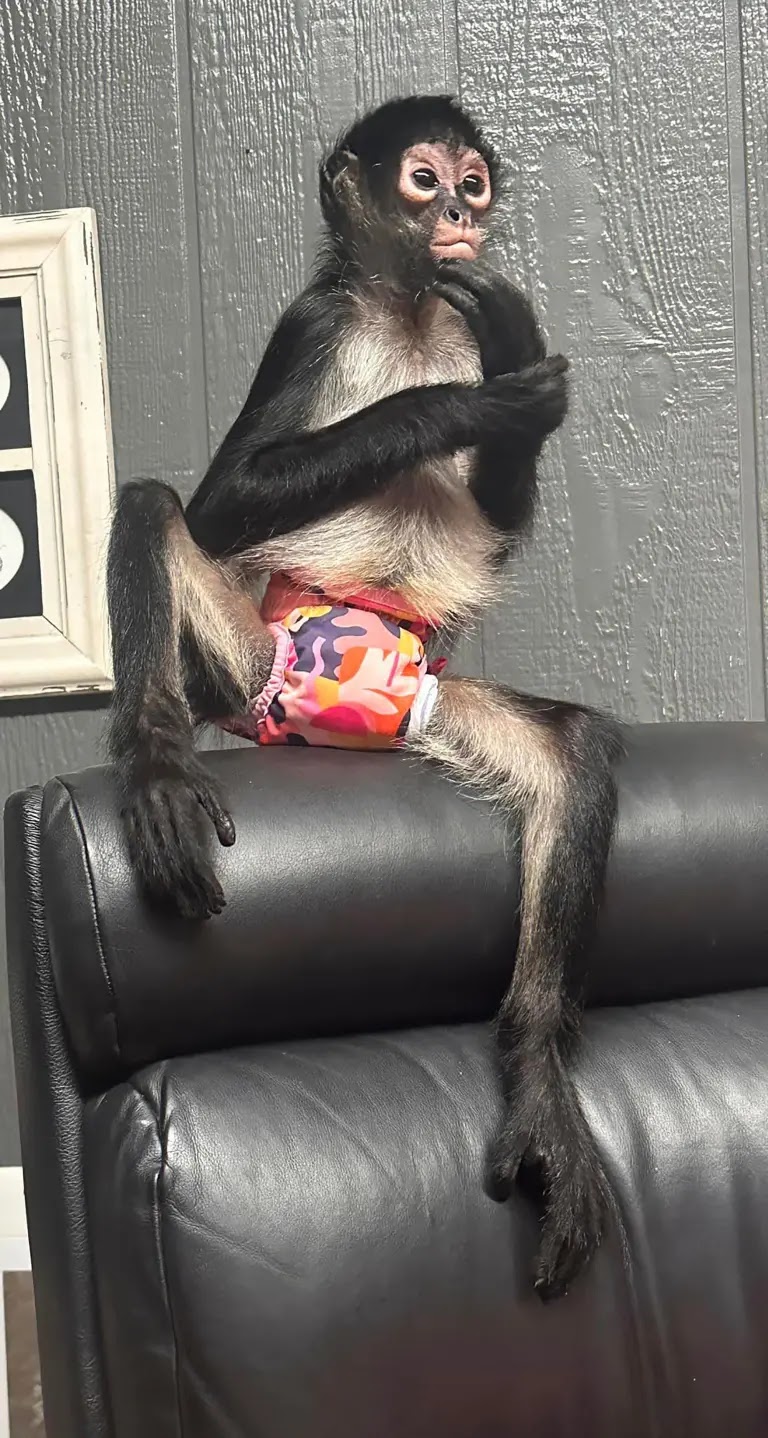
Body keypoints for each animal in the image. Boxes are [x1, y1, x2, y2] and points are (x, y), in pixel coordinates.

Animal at [106, 94, 624, 1299]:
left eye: (474, 186)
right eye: (425, 181)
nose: (461, 219)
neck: (406, 305)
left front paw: (515, 365)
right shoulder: (313, 320)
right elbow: (221, 499)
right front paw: (475, 394)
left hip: (423, 705)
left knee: (574, 751)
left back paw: (538, 1082)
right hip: (245, 674)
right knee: (154, 504)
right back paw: (155, 761)